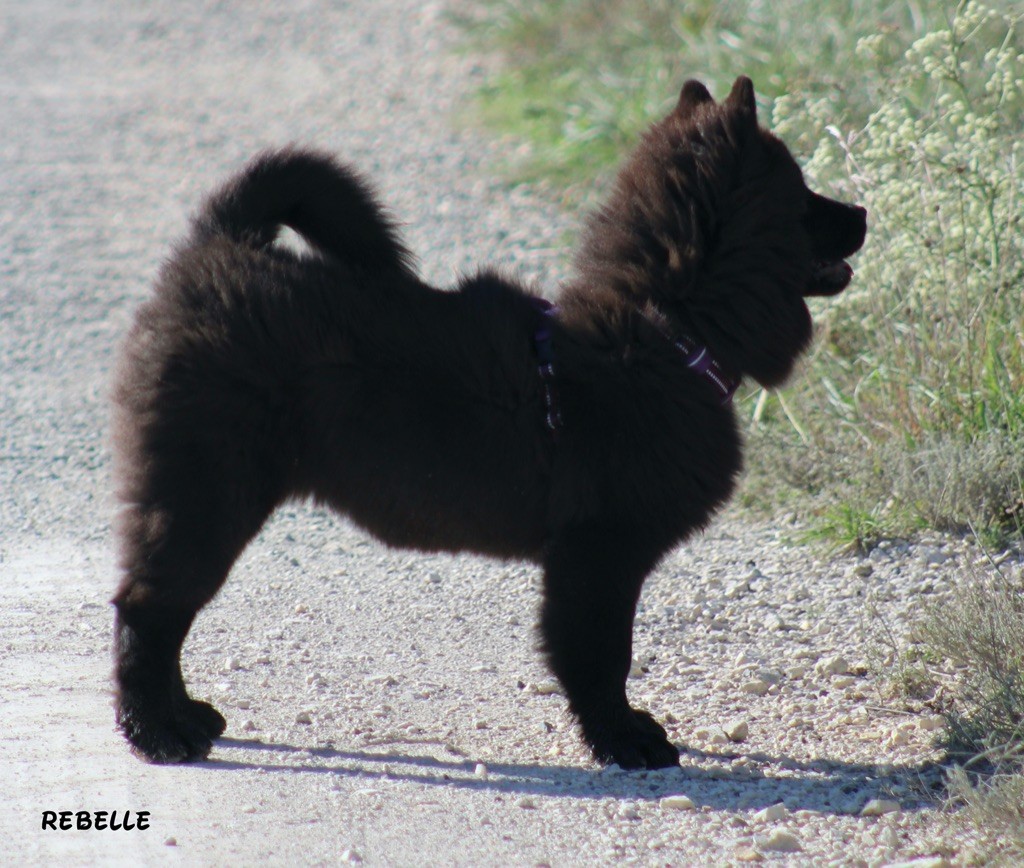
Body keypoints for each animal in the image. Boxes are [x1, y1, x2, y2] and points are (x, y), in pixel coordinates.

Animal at [110, 76, 864, 765]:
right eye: (803, 194)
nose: (860, 210)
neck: (664, 331)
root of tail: (220, 246)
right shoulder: (599, 553)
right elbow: (601, 656)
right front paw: (622, 739)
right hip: (211, 489)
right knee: (147, 610)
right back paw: (158, 731)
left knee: (159, 612)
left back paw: (183, 717)